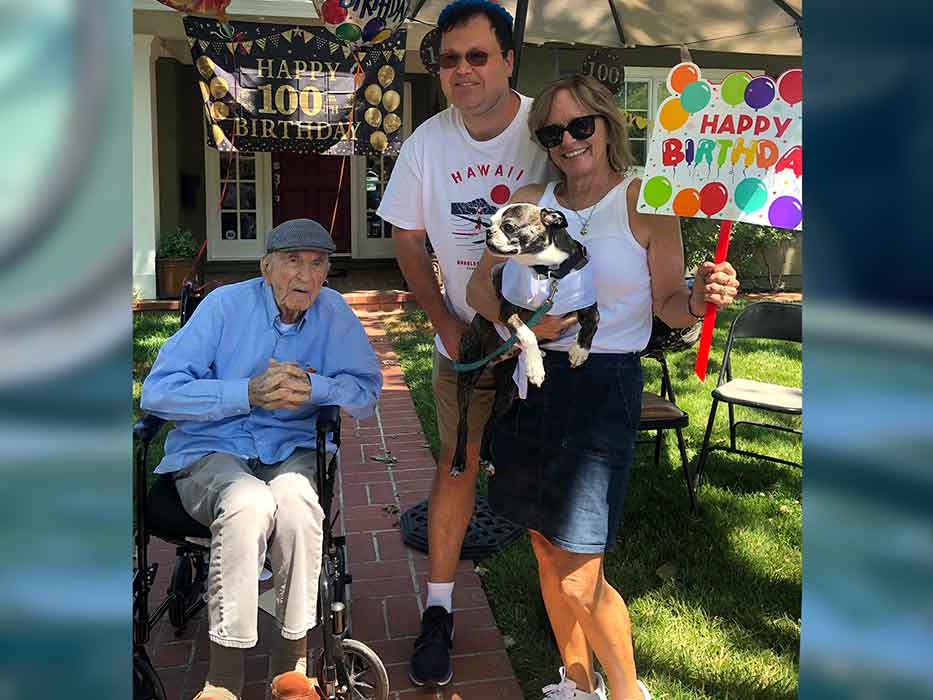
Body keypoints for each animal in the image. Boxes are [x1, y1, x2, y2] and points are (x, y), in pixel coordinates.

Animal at [450, 202, 596, 476]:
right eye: (489, 223)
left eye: (508, 226)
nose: (488, 232)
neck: (548, 272)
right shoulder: (508, 311)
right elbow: (527, 333)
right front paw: (536, 367)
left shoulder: (585, 300)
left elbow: (593, 320)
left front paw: (579, 350)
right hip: (467, 376)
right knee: (463, 421)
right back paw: (459, 460)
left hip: (508, 393)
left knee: (490, 423)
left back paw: (486, 457)